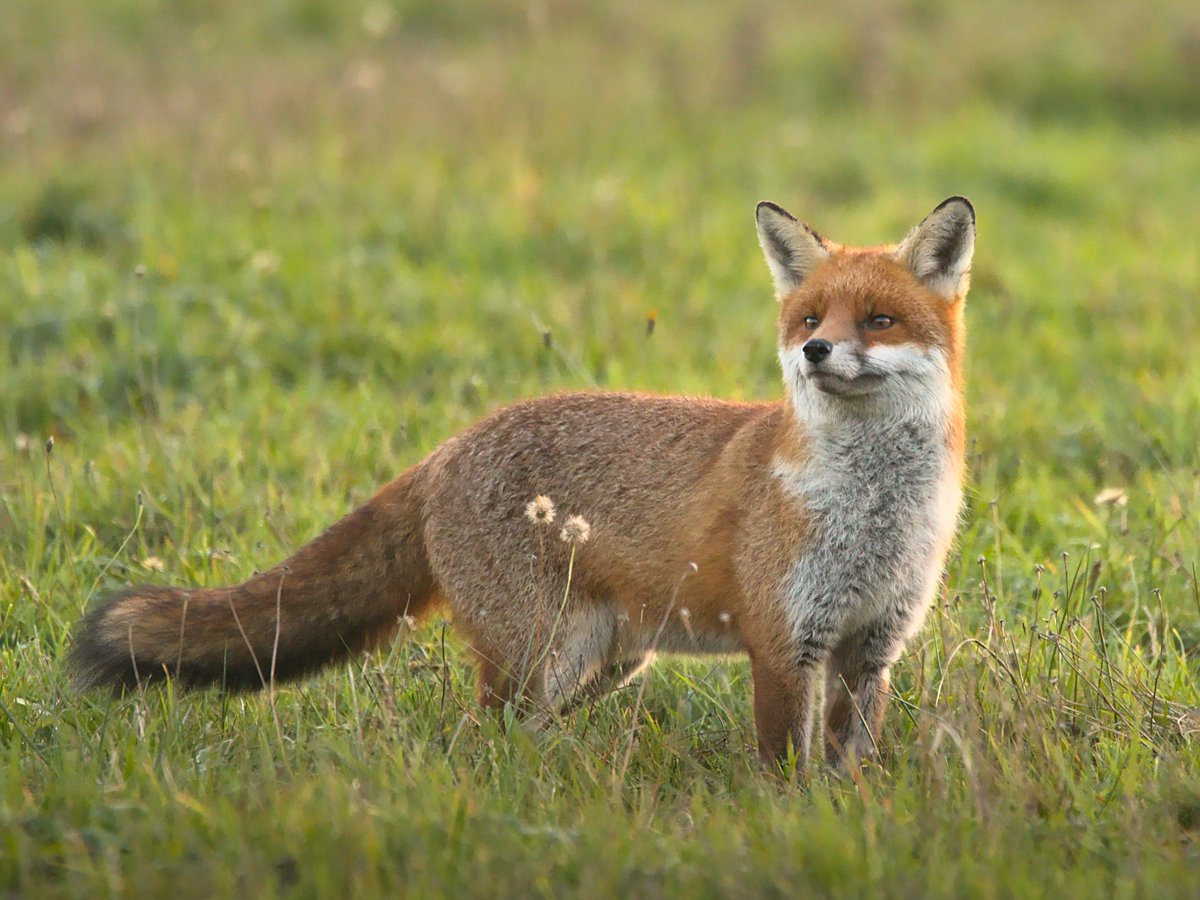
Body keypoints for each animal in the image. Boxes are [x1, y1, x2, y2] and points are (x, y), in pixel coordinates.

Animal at [70, 196, 975, 771]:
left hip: (594, 665)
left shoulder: (869, 650)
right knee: (482, 744)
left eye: (879, 321)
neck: (870, 513)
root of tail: (447, 448)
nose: (815, 352)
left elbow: (847, 771)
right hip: (538, 655)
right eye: (810, 320)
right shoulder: (784, 644)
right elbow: (787, 774)